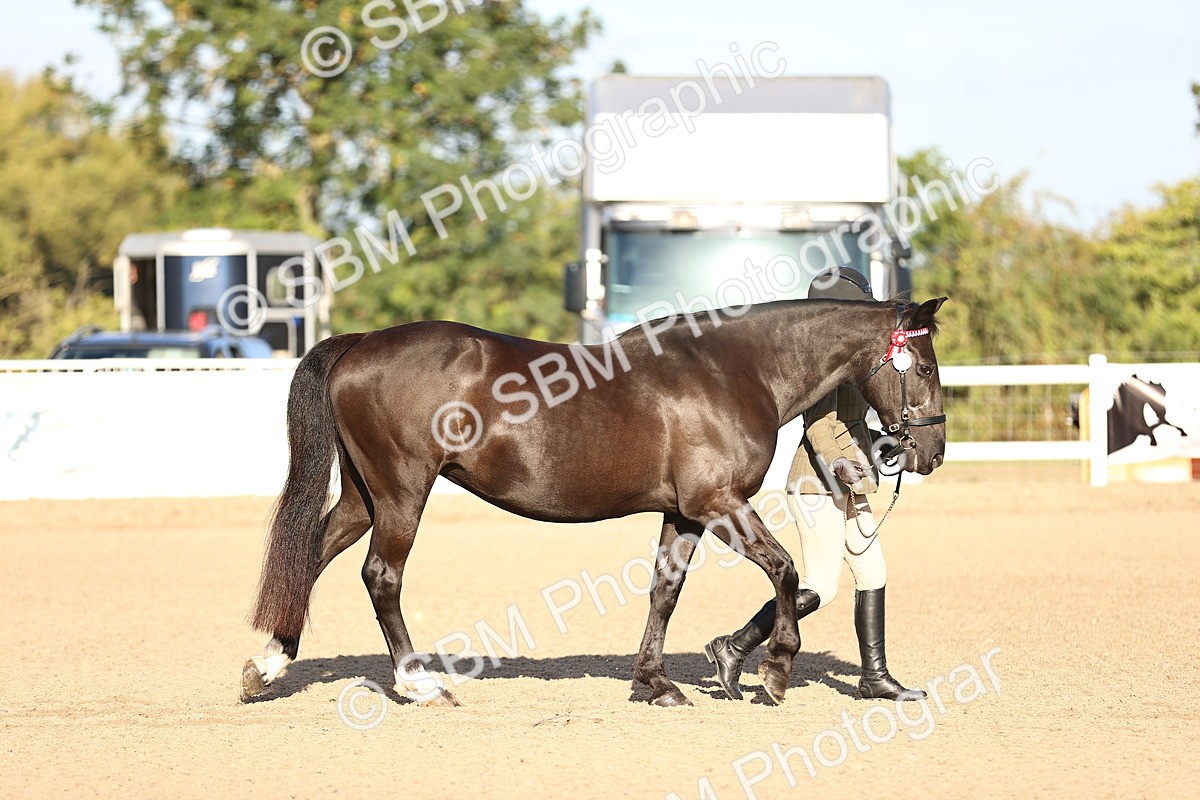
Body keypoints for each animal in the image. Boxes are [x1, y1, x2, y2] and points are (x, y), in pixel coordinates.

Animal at [241, 296, 948, 708]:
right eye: (923, 366)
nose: (931, 451)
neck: (733, 370)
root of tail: (361, 342)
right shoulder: (717, 503)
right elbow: (784, 570)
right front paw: (773, 672)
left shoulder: (684, 513)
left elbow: (665, 593)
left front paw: (655, 683)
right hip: (402, 493)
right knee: (381, 577)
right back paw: (418, 683)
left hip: (367, 497)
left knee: (311, 556)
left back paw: (266, 667)